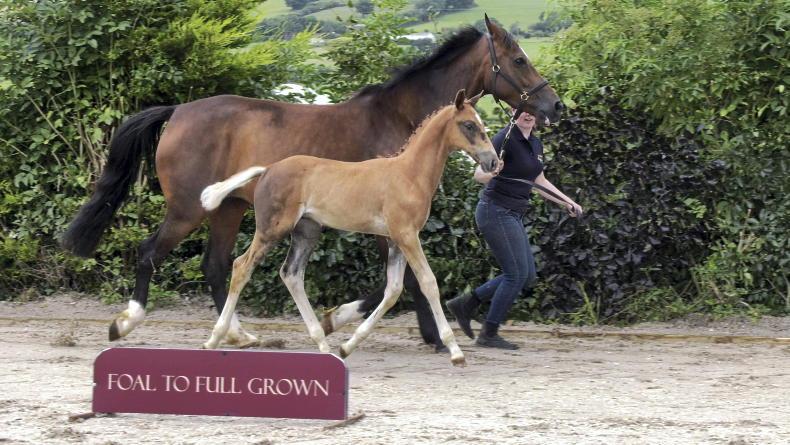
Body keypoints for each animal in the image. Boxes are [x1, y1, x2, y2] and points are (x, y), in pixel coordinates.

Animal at [200, 90, 496, 366]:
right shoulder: (406, 235)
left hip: (306, 232)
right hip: (272, 230)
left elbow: (393, 290)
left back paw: (323, 343)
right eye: (469, 125)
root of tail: (268, 169)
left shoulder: (395, 240)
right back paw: (216, 338)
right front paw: (455, 351)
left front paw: (347, 346)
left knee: (291, 274)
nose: (493, 161)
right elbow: (428, 283)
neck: (408, 174)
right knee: (241, 267)